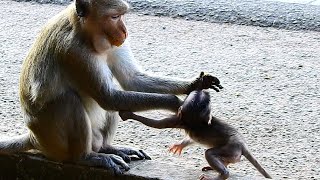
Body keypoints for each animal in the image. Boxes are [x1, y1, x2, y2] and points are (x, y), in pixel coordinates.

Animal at [0, 0, 221, 174]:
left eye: (122, 15)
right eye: (114, 16)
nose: (125, 31)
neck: (81, 30)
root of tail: (35, 138)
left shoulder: (114, 43)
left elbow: (132, 80)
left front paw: (196, 83)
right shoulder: (74, 51)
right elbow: (108, 97)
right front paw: (178, 104)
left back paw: (108, 148)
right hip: (56, 142)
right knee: (70, 100)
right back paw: (85, 157)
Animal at [119, 74, 272, 179]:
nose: (202, 90)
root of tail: (242, 145)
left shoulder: (178, 120)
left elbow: (158, 124)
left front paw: (128, 114)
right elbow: (190, 138)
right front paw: (180, 145)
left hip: (231, 149)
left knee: (210, 153)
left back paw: (223, 174)